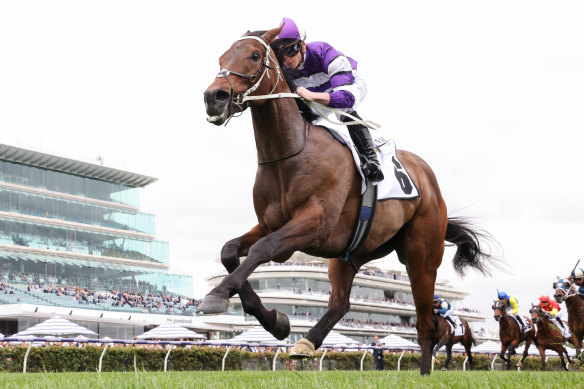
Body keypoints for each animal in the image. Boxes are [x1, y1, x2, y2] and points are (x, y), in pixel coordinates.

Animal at [200, 25, 492, 372]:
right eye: (221, 58)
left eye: (255, 55)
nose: (213, 97)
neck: (292, 151)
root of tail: (429, 180)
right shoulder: (271, 224)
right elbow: (230, 251)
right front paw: (276, 321)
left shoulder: (315, 223)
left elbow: (262, 249)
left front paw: (218, 294)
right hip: (352, 253)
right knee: (341, 302)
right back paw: (306, 342)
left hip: (421, 256)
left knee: (426, 326)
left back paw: (423, 371)